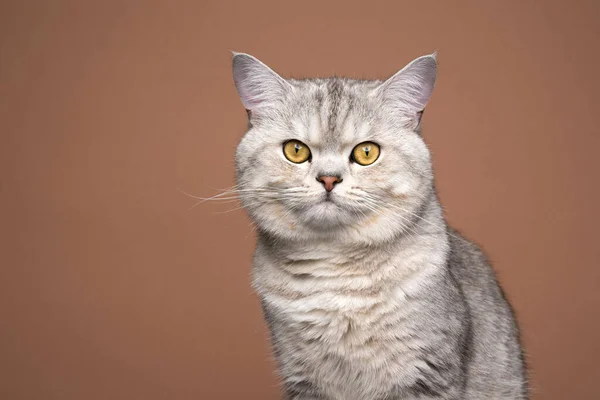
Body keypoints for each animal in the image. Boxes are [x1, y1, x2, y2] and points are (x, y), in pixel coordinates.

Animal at [232, 51, 528, 398]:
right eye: (295, 150)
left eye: (366, 152)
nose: (329, 178)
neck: (337, 276)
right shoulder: (303, 377)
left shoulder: (427, 373)